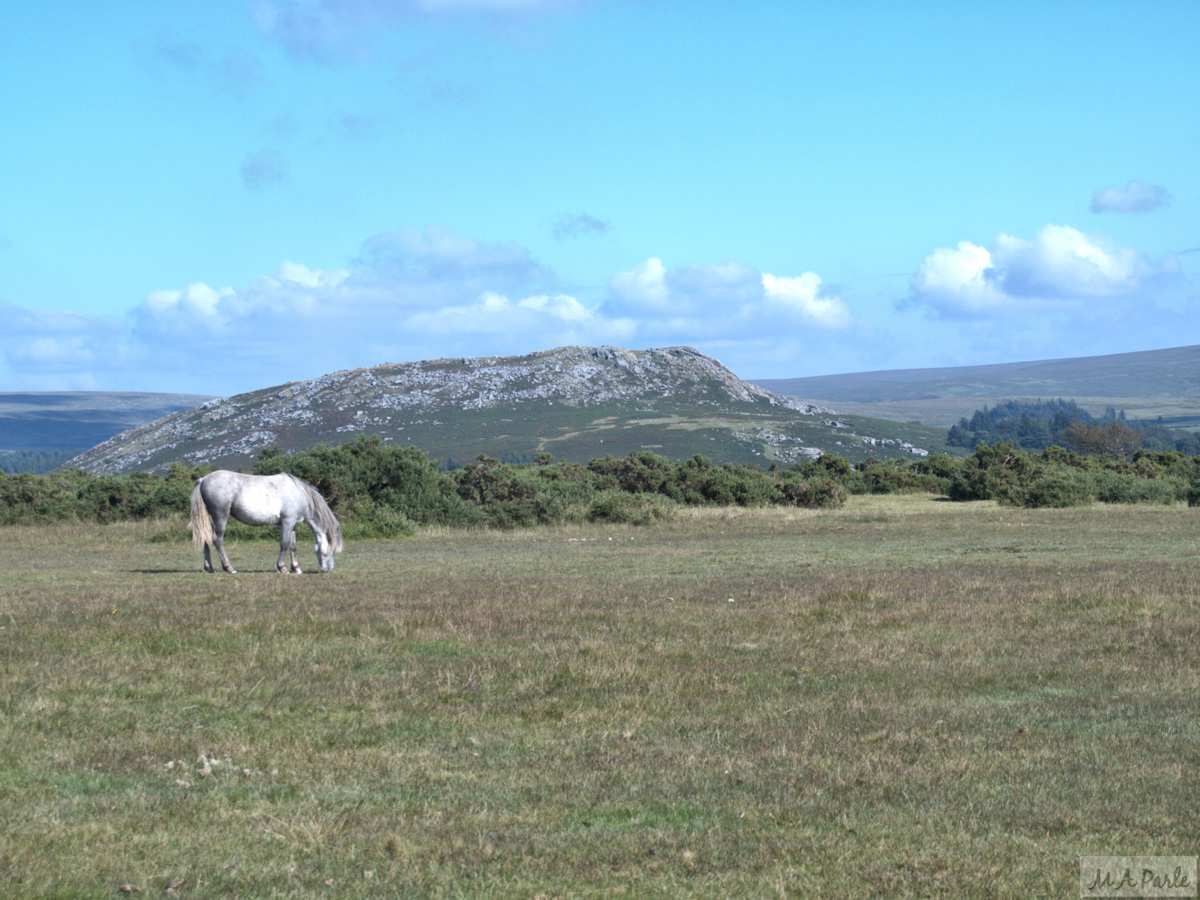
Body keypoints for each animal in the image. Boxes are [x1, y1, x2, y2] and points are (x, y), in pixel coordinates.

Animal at [187, 468, 345, 573]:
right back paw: (229, 568)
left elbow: (293, 545)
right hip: (220, 516)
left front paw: (296, 568)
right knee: (217, 540)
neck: (299, 494)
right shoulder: (287, 521)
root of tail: (203, 479)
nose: (328, 570)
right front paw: (282, 568)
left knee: (206, 539)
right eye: (331, 551)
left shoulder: (292, 523)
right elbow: (284, 544)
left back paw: (209, 568)